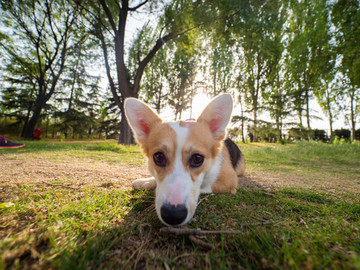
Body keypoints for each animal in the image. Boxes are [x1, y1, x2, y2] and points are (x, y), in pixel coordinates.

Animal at [124, 94, 245, 227]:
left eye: (197, 158)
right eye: (159, 157)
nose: (172, 216)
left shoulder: (229, 180)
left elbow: (203, 187)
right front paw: (146, 181)